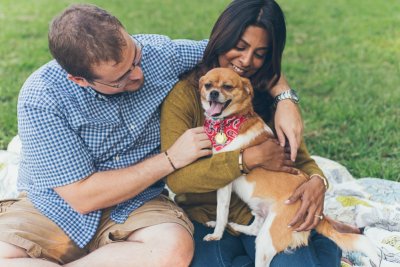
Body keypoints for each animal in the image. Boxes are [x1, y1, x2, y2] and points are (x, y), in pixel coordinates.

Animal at [198, 68, 380, 267]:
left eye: (227, 87)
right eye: (208, 85)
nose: (213, 93)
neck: (229, 122)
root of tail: (320, 217)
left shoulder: (225, 183)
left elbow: (222, 211)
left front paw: (216, 234)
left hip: (267, 239)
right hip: (260, 214)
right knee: (254, 229)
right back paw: (232, 225)